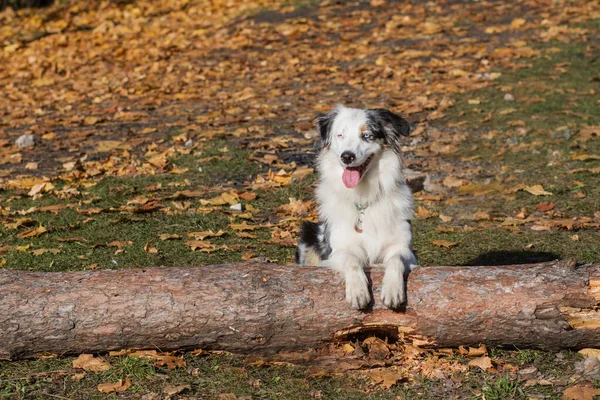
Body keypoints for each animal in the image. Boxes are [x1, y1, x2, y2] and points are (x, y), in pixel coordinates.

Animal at [296, 104, 418, 310]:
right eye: (340, 135)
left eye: (367, 135)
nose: (347, 156)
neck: (363, 195)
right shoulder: (338, 250)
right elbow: (352, 260)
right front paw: (357, 291)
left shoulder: (403, 247)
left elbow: (395, 259)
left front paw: (392, 290)